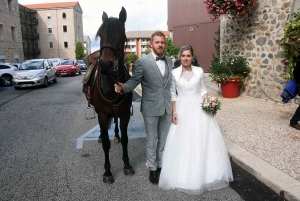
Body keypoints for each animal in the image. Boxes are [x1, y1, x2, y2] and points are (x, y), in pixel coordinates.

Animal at [88, 7, 134, 184]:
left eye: (122, 36)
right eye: (100, 35)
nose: (106, 65)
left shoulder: (125, 113)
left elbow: (126, 139)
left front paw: (127, 164)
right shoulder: (102, 114)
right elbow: (106, 145)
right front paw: (107, 171)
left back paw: (116, 135)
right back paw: (102, 135)